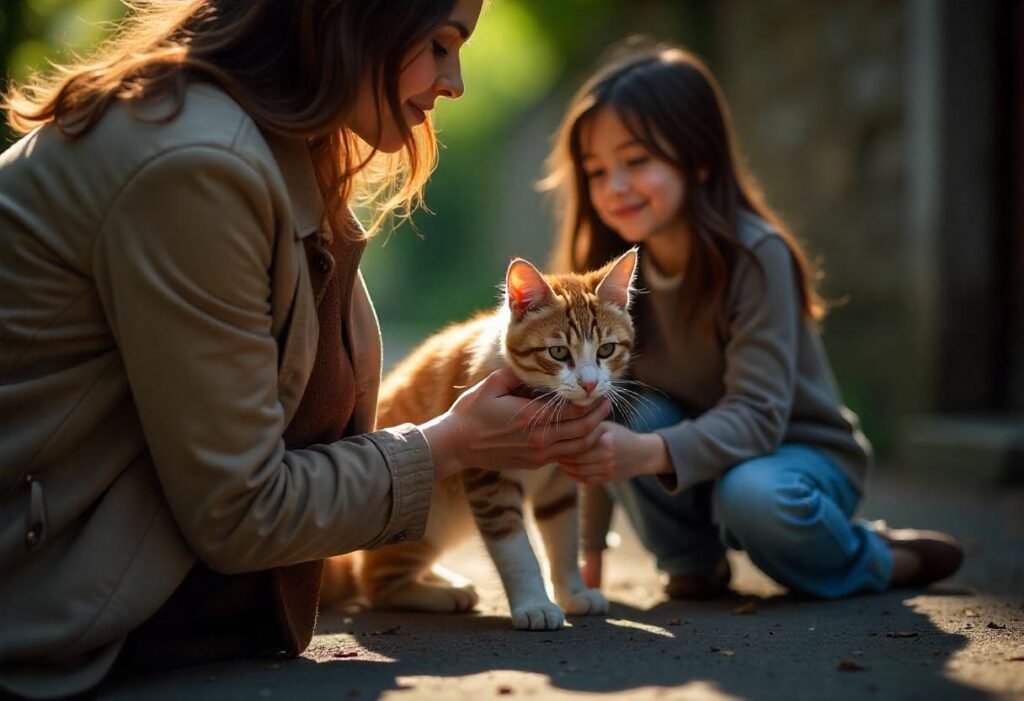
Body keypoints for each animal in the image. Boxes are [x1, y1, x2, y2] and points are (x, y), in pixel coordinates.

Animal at [323, 248, 634, 630]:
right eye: (559, 353)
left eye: (606, 350)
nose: (589, 384)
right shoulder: (488, 478)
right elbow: (516, 549)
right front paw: (535, 604)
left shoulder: (559, 483)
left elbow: (563, 537)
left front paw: (572, 593)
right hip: (428, 517)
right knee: (374, 582)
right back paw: (442, 594)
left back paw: (447, 580)